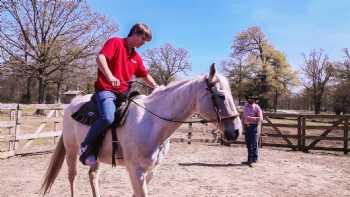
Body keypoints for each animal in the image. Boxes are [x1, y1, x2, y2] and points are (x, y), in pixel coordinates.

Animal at [40, 63, 241, 196]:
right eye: (221, 96)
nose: (236, 131)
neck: (152, 122)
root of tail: (71, 105)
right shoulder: (136, 171)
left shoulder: (151, 171)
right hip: (71, 151)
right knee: (72, 176)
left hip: (94, 157)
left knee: (93, 176)